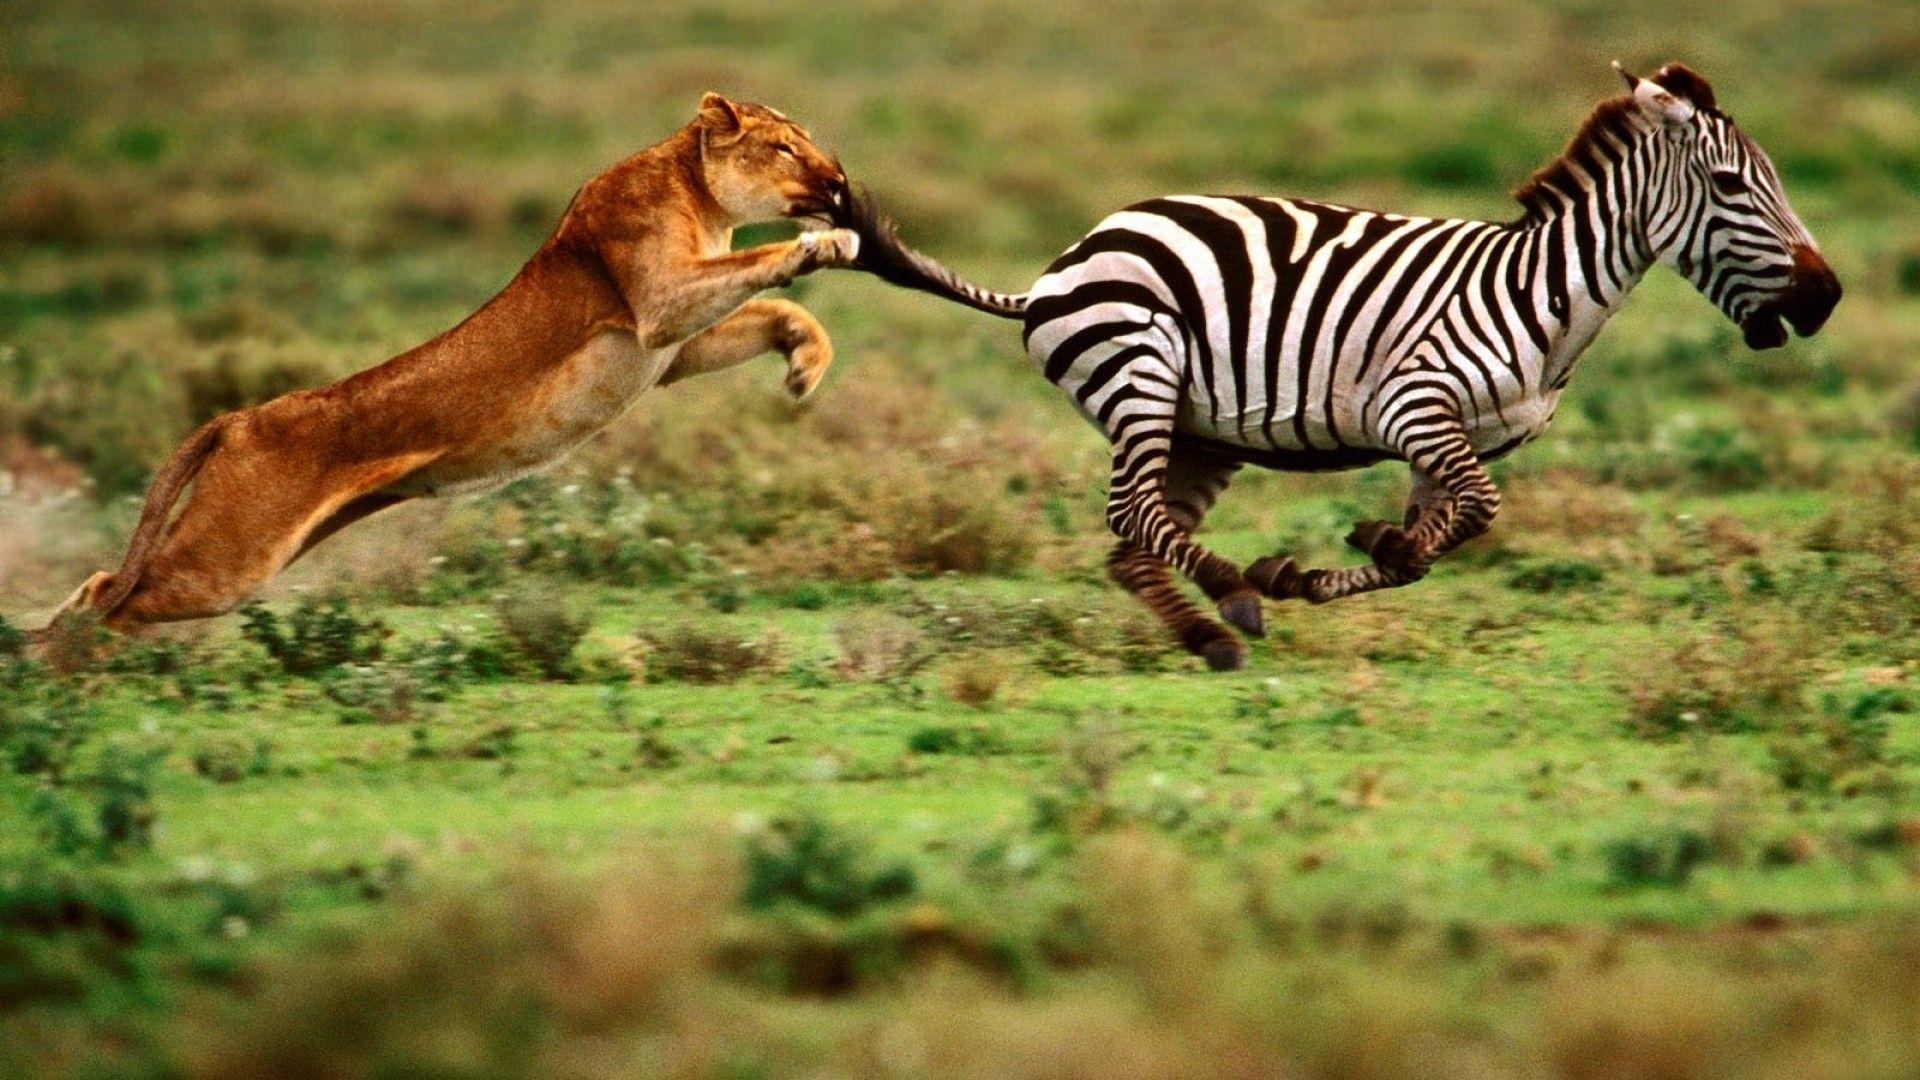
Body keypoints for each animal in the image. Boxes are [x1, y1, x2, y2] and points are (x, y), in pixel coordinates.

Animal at [840, 61, 1841, 670]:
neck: (1542, 295)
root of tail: (1063, 263)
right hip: (1139, 374)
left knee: (1132, 540)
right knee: (1132, 513)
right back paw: (1232, 596)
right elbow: (1479, 513)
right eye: (1732, 186)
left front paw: (1349, 558)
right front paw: (1314, 567)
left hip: (1199, 430)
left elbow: (1437, 542)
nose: (1825, 298)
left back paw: (1208, 634)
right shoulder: (1416, 404)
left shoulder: (1457, 441)